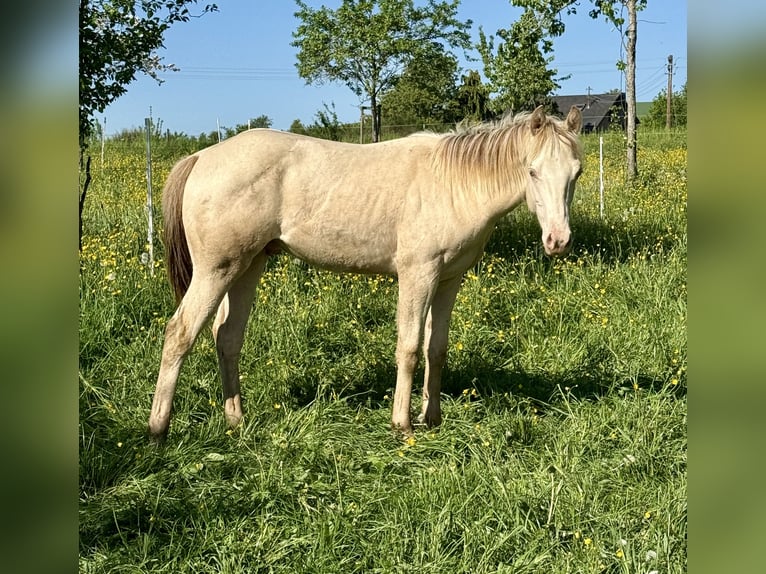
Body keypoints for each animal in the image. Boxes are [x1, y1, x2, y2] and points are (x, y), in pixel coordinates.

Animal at [148, 105, 583, 441]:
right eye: (532, 171)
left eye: (576, 173)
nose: (558, 240)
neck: (453, 183)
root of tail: (201, 157)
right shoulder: (417, 275)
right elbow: (409, 347)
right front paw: (402, 425)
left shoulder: (448, 280)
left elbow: (436, 348)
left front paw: (432, 419)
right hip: (216, 271)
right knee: (180, 334)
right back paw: (158, 430)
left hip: (247, 267)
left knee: (227, 337)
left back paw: (236, 420)